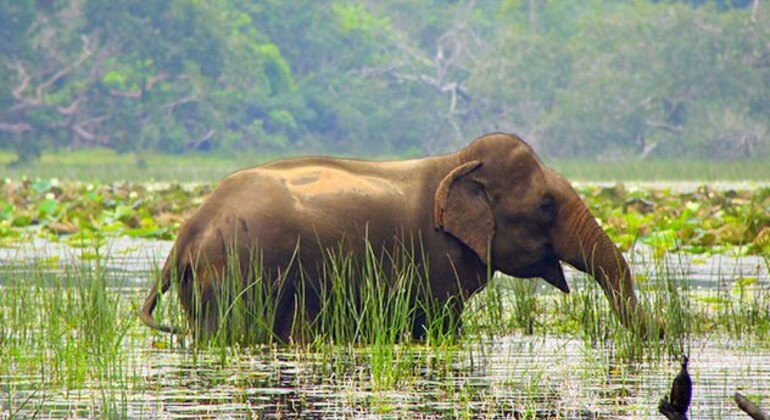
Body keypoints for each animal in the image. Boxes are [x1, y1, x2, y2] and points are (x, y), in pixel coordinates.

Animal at [140, 132, 660, 342]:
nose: (661, 330)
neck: (456, 161)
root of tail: (185, 233)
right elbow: (439, 327)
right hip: (234, 274)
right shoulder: (438, 261)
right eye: (546, 206)